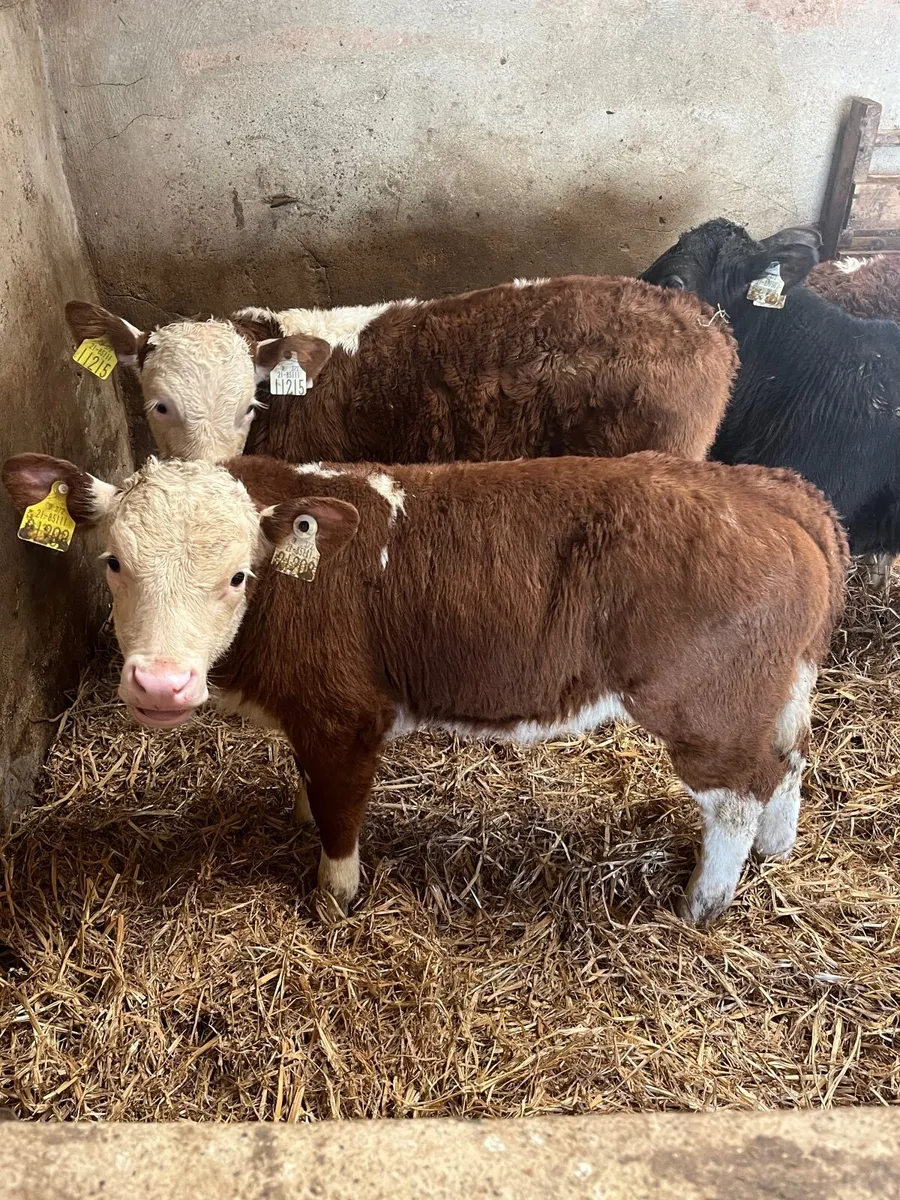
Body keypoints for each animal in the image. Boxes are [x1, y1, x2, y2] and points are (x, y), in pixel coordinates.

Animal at [2, 450, 847, 926]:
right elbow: (314, 794)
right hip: (774, 690)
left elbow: (341, 818)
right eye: (113, 561)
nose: (161, 684)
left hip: (705, 708)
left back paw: (703, 904)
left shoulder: (345, 717)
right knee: (789, 760)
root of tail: (764, 489)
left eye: (237, 575)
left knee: (737, 796)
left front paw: (335, 901)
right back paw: (778, 849)